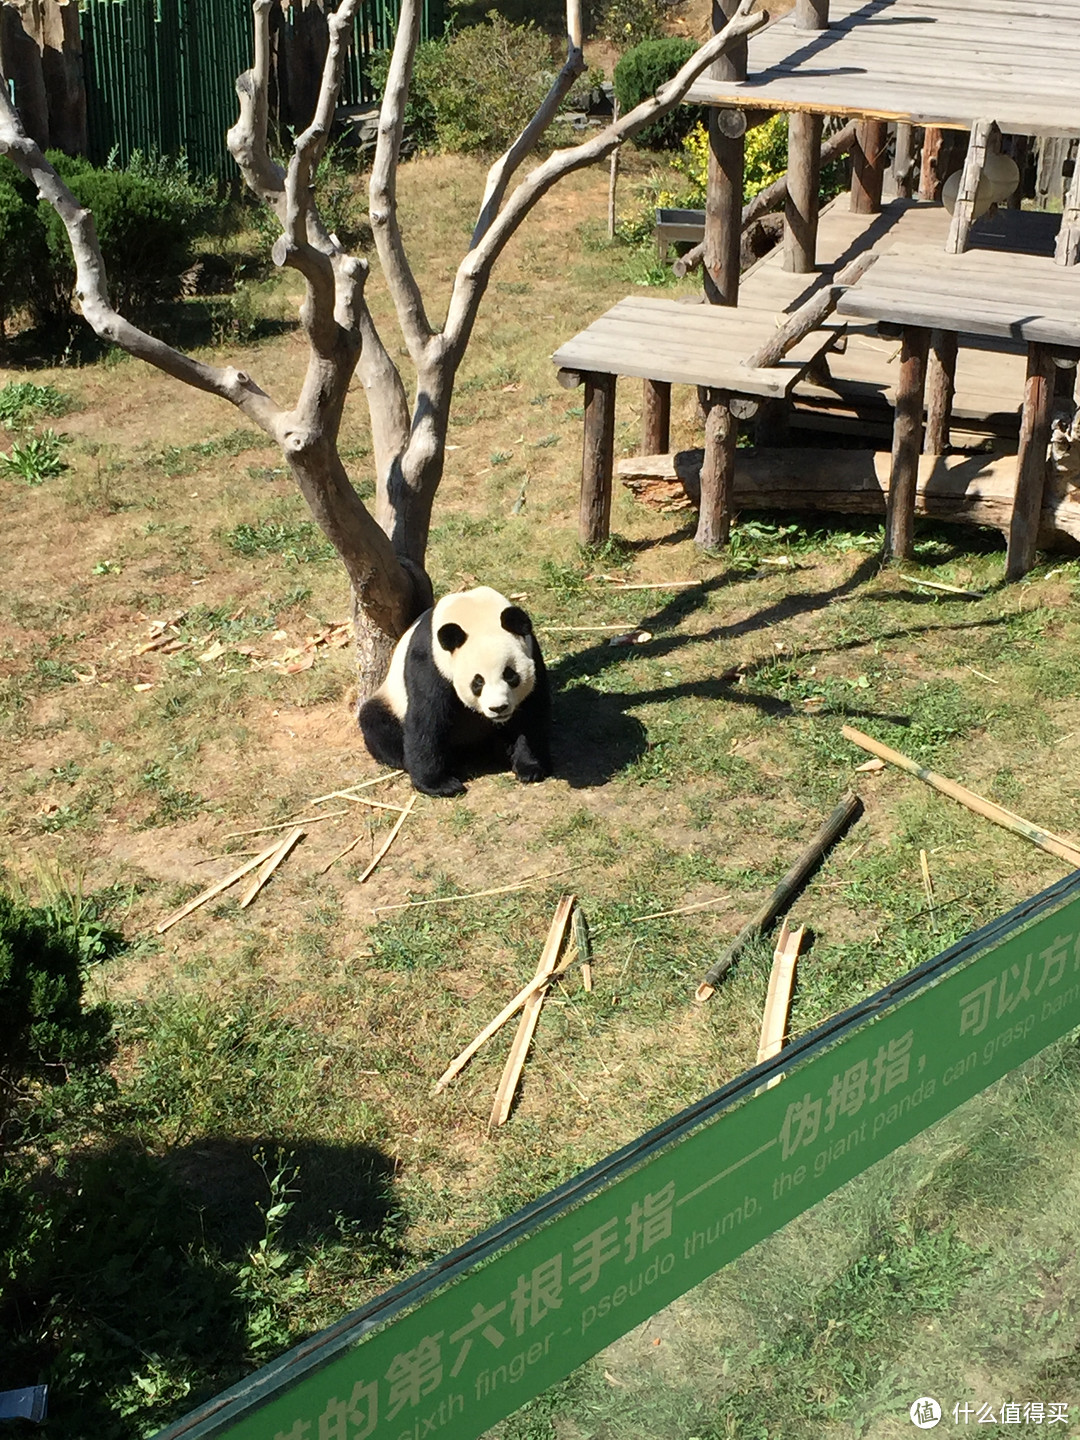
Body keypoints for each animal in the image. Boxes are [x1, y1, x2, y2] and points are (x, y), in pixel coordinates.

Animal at [360, 584, 552, 800]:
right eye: (478, 682)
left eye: (510, 675)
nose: (498, 708)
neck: (473, 611)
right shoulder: (430, 662)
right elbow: (425, 719)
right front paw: (439, 785)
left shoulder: (532, 651)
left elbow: (531, 713)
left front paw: (530, 767)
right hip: (389, 700)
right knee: (376, 722)